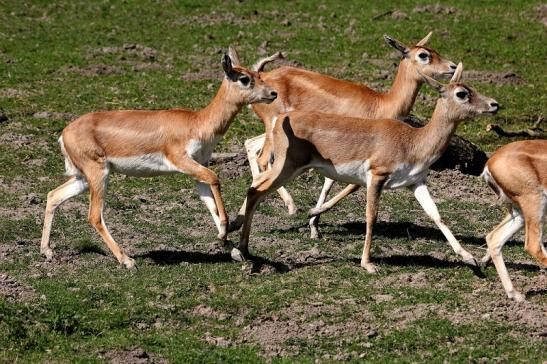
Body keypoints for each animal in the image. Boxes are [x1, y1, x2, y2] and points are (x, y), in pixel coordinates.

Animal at [40, 47, 278, 268]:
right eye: (245, 78)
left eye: (258, 74)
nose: (273, 93)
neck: (197, 122)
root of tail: (64, 133)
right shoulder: (181, 160)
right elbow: (214, 178)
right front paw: (225, 235)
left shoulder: (196, 166)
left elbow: (208, 200)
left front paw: (230, 246)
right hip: (98, 174)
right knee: (94, 215)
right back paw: (127, 261)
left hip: (82, 178)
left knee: (54, 195)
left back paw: (47, 251)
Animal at [231, 32, 458, 239]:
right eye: (423, 55)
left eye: (435, 50)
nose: (453, 66)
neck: (381, 103)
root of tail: (262, 76)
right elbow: (349, 185)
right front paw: (313, 217)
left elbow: (330, 183)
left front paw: (314, 225)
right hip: (275, 130)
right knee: (263, 159)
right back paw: (290, 206)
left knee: (250, 144)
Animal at [231, 64, 500, 272]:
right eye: (462, 93)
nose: (494, 104)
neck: (413, 141)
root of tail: (280, 120)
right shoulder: (377, 176)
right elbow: (371, 216)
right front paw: (368, 263)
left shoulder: (416, 182)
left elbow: (437, 215)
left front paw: (469, 257)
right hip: (287, 167)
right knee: (256, 190)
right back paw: (242, 249)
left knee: (255, 186)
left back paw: (240, 243)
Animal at [482, 140, 544, 302]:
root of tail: (490, 162)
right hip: (534, 202)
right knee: (533, 245)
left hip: (520, 213)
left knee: (494, 238)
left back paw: (514, 294)